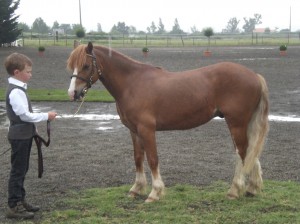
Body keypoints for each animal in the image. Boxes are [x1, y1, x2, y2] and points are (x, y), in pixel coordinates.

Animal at [67, 42, 270, 201]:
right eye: (72, 67)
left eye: (86, 65)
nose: (72, 93)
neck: (132, 83)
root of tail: (254, 76)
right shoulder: (134, 130)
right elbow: (138, 158)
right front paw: (136, 189)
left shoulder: (147, 129)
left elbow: (153, 159)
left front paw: (155, 193)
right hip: (243, 124)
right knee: (250, 152)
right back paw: (252, 189)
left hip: (236, 123)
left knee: (242, 153)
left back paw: (235, 191)